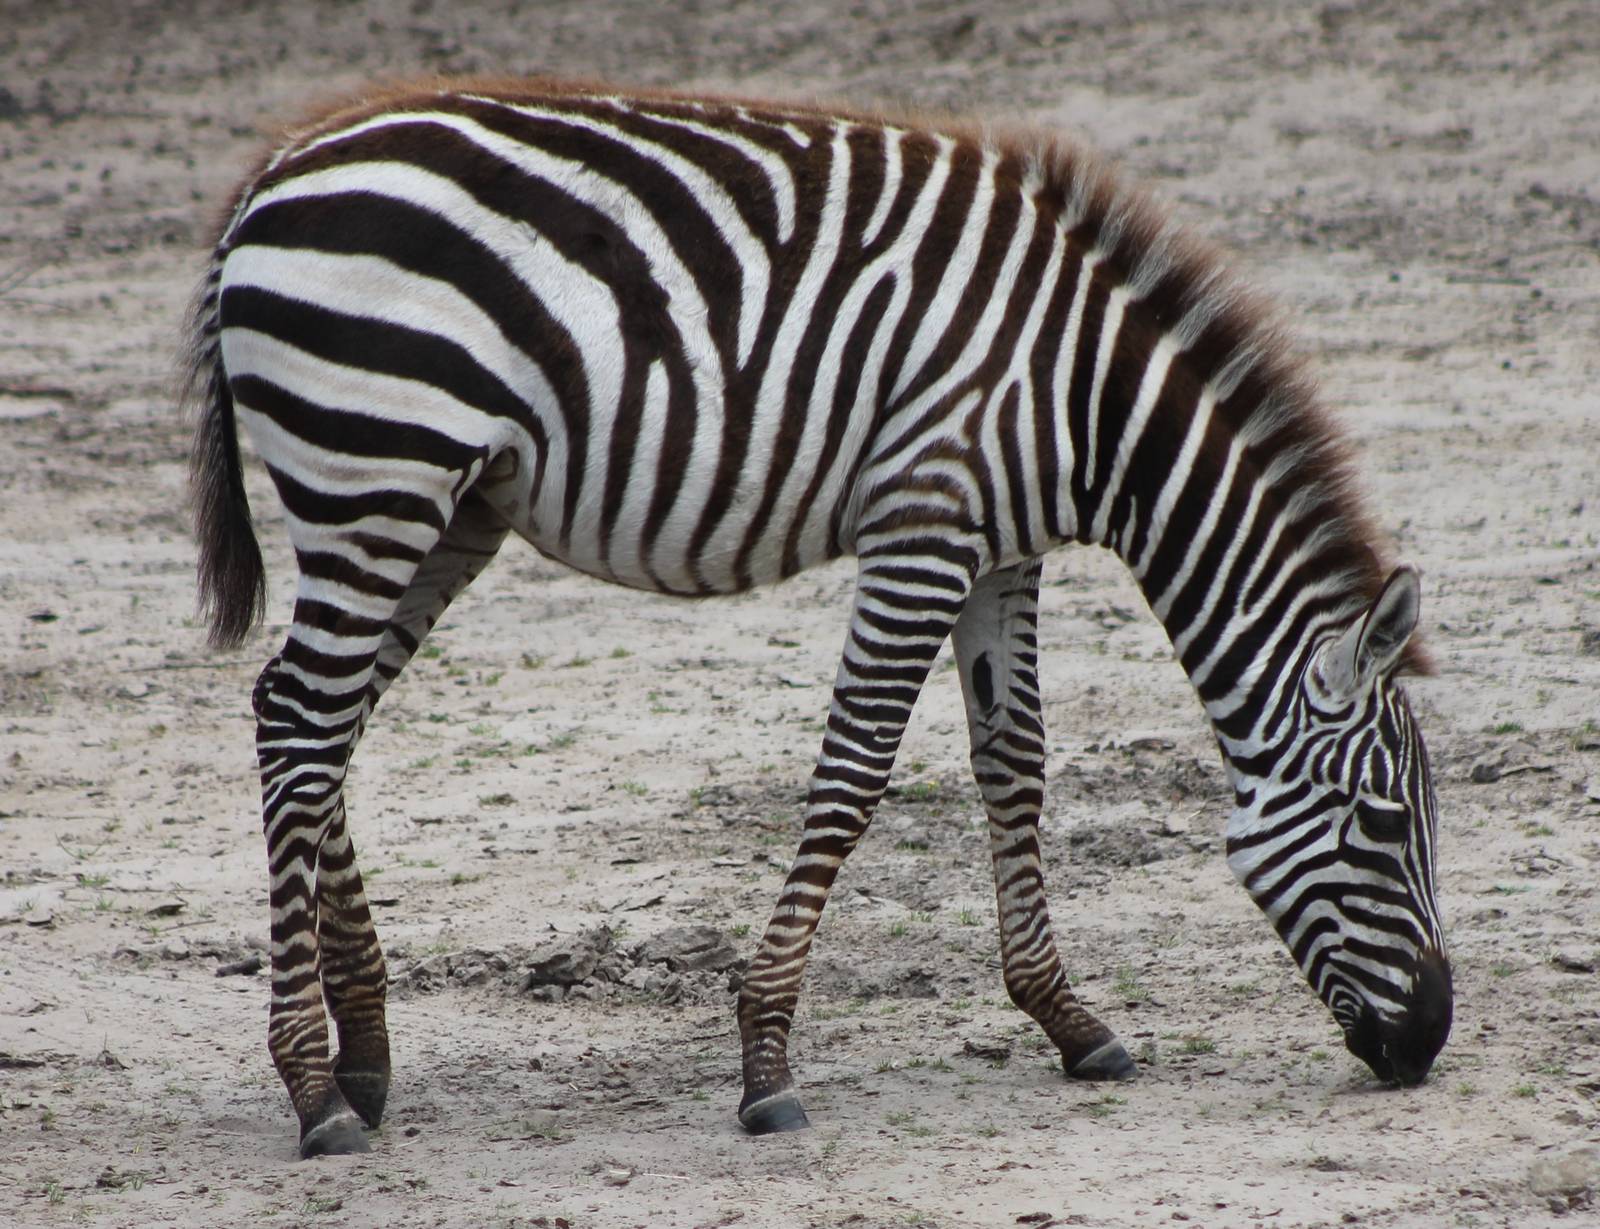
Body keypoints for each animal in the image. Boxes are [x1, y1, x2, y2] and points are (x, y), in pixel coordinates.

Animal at [185, 78, 1452, 1157]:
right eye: (1385, 821)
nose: (1427, 1042)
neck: (1087, 398)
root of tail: (272, 173)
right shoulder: (923, 522)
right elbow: (853, 775)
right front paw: (765, 1061)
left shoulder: (1001, 550)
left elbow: (1015, 762)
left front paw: (1067, 1018)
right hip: (376, 470)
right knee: (301, 719)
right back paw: (313, 1088)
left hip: (446, 502)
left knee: (314, 719)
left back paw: (364, 1054)